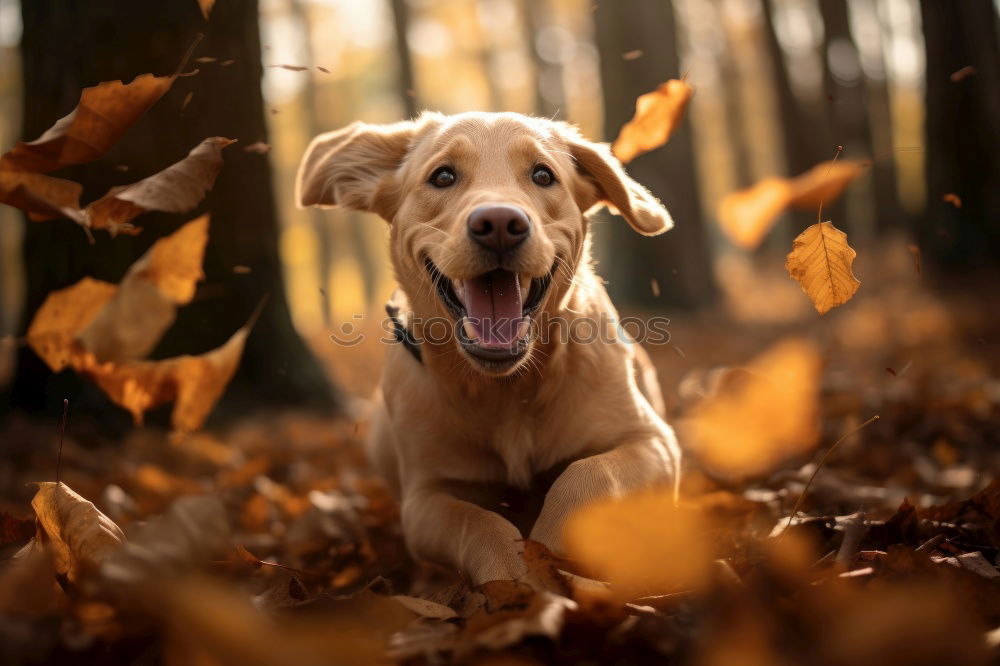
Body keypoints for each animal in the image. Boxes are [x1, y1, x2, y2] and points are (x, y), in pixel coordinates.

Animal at [298, 111, 680, 584]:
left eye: (543, 175)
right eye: (443, 176)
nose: (499, 223)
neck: (507, 389)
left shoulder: (653, 441)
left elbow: (585, 476)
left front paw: (550, 555)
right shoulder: (424, 497)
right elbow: (479, 524)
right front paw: (519, 577)